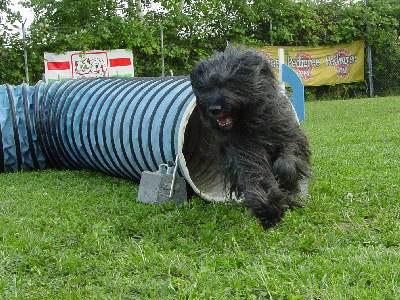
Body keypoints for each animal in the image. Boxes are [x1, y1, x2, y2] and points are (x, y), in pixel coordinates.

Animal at [189, 47, 310, 229]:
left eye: (229, 83)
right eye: (206, 88)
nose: (214, 109)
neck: (251, 121)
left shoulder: (287, 135)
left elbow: (286, 161)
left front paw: (286, 181)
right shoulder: (244, 151)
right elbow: (256, 175)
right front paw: (269, 209)